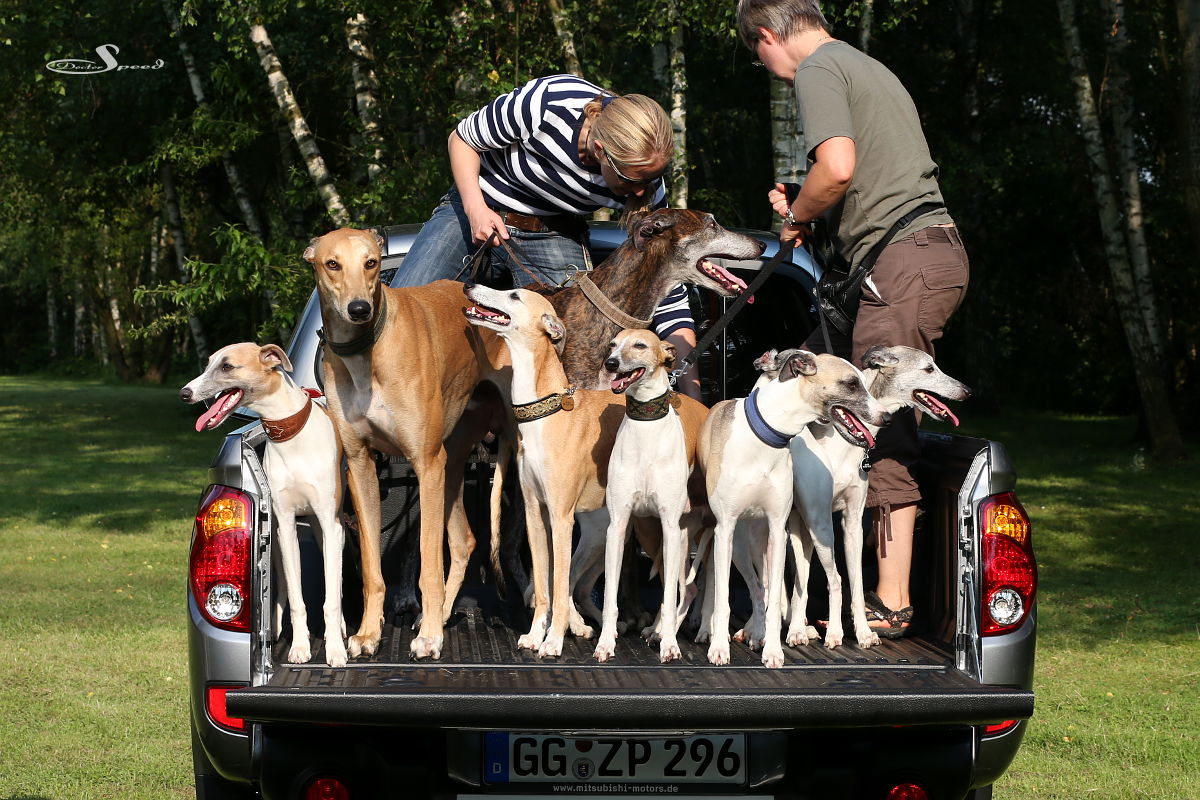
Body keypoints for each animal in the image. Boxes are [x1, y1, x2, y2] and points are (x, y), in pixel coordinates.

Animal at [181, 342, 348, 668]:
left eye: (227, 366)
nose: (185, 393)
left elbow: (331, 600)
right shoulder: (285, 524)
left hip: (329, 532)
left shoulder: (329, 522)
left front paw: (335, 650)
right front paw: (299, 647)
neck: (294, 437)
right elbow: (296, 598)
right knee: (284, 586)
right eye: (208, 364)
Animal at [305, 228, 508, 660]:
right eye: (332, 264)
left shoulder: (425, 462)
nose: (360, 309)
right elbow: (371, 567)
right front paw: (367, 633)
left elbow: (429, 566)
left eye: (371, 263)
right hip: (451, 464)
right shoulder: (361, 466)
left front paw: (430, 638)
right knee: (464, 541)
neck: (367, 351)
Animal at [462, 284, 624, 658]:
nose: (469, 285)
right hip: (601, 529)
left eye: (514, 295)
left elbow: (558, 584)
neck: (544, 412)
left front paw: (553, 641)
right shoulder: (537, 514)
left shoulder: (562, 518)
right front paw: (536, 635)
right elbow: (543, 586)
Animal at [590, 329, 710, 663]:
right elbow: (610, 597)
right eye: (613, 344)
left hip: (685, 537)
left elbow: (668, 595)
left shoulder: (670, 526)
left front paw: (670, 645)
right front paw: (606, 643)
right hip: (652, 534)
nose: (611, 363)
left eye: (640, 345)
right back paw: (655, 630)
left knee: (688, 589)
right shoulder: (618, 526)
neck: (646, 427)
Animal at [696, 350, 890, 668]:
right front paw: (719, 649)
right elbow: (724, 597)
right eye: (851, 384)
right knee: (744, 585)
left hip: (787, 535)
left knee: (770, 587)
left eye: (863, 381)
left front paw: (773, 651)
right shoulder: (725, 528)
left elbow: (776, 597)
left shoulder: (778, 528)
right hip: (738, 544)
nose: (886, 417)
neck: (763, 436)